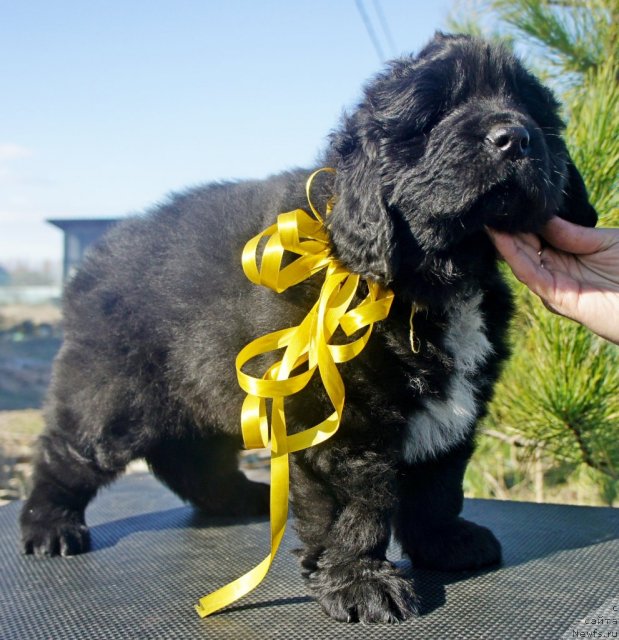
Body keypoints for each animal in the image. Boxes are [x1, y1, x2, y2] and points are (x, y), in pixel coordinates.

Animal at [20, 32, 596, 624]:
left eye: (533, 111)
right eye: (435, 113)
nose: (515, 137)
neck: (427, 281)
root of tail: (92, 261)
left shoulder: (453, 410)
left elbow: (438, 481)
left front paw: (445, 541)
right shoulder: (337, 419)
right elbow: (355, 508)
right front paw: (361, 581)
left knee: (191, 458)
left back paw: (239, 497)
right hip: (110, 393)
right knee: (67, 451)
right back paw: (50, 525)